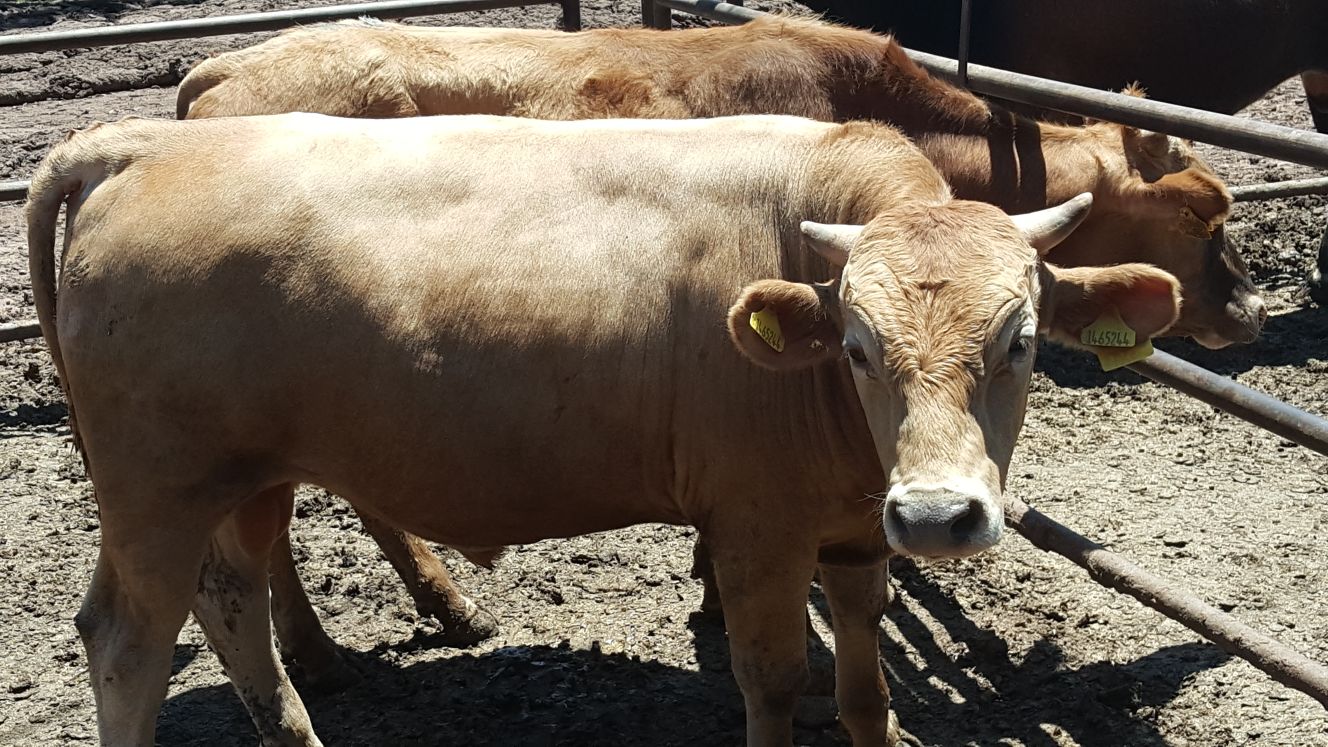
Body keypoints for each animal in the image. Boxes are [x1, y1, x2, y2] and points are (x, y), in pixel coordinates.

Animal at [27, 112, 1180, 746]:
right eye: (854, 346)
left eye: (1020, 340)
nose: (938, 515)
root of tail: (135, 141)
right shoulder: (756, 526)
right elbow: (771, 680)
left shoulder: (852, 529)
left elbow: (863, 682)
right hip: (156, 492)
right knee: (127, 641)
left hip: (240, 481)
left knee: (230, 605)